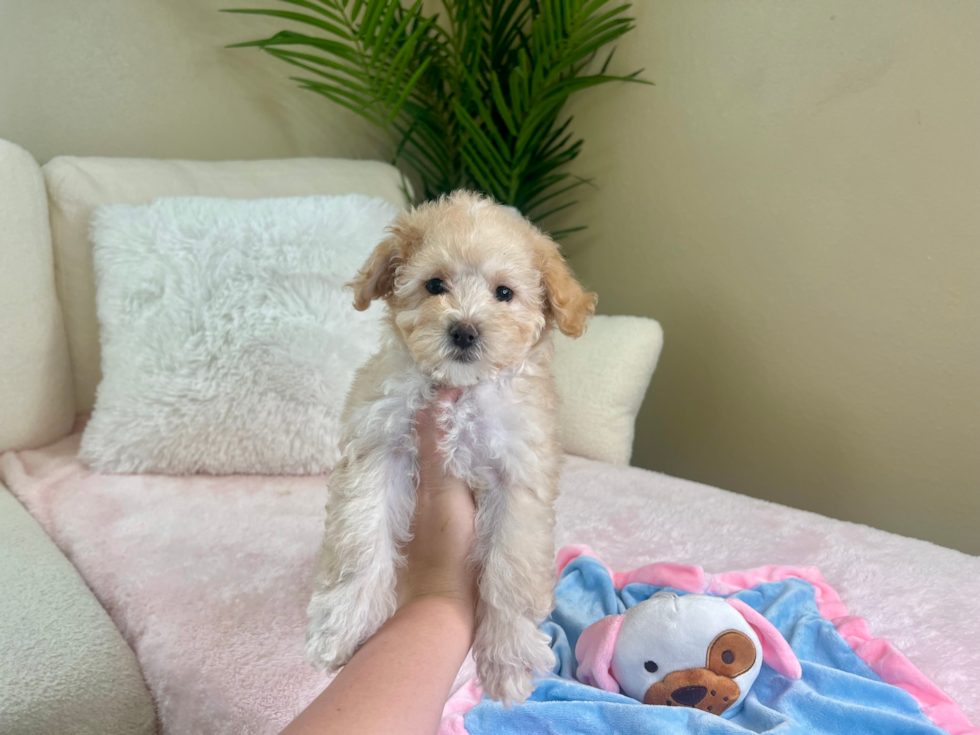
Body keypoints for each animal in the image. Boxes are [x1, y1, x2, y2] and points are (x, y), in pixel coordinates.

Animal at [306, 188, 596, 700]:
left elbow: (511, 567)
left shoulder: (518, 474)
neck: (460, 393)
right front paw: (342, 623)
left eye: (504, 293)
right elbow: (360, 537)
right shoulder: (379, 443)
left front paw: (507, 656)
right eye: (434, 285)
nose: (463, 330)